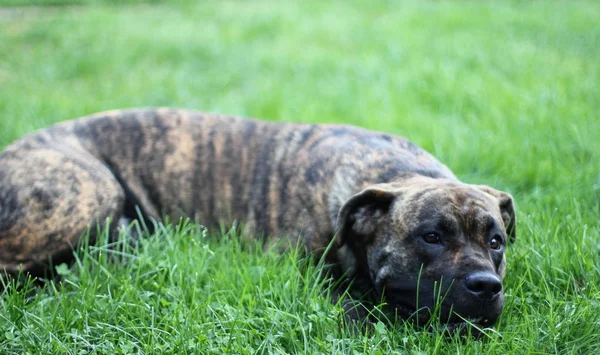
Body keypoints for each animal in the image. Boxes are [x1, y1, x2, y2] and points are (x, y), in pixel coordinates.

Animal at [0, 108, 516, 330]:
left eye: (496, 242)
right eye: (430, 236)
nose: (485, 286)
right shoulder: (299, 271)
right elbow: (352, 303)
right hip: (84, 192)